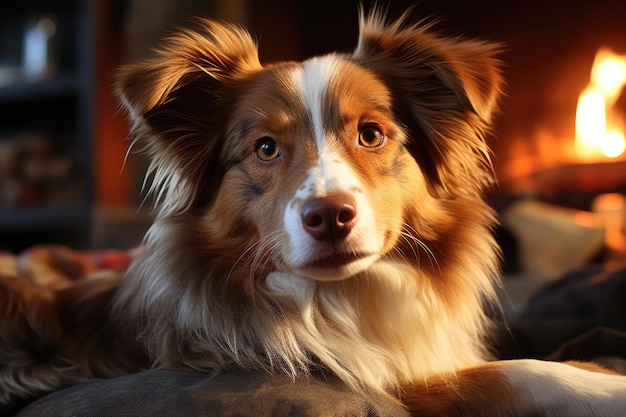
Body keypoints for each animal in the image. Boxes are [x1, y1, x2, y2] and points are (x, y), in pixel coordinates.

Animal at [1, 8, 624, 414]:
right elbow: (513, 374)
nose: (329, 215)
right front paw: (607, 386)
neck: (344, 297)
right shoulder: (383, 381)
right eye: (265, 148)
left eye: (371, 133)